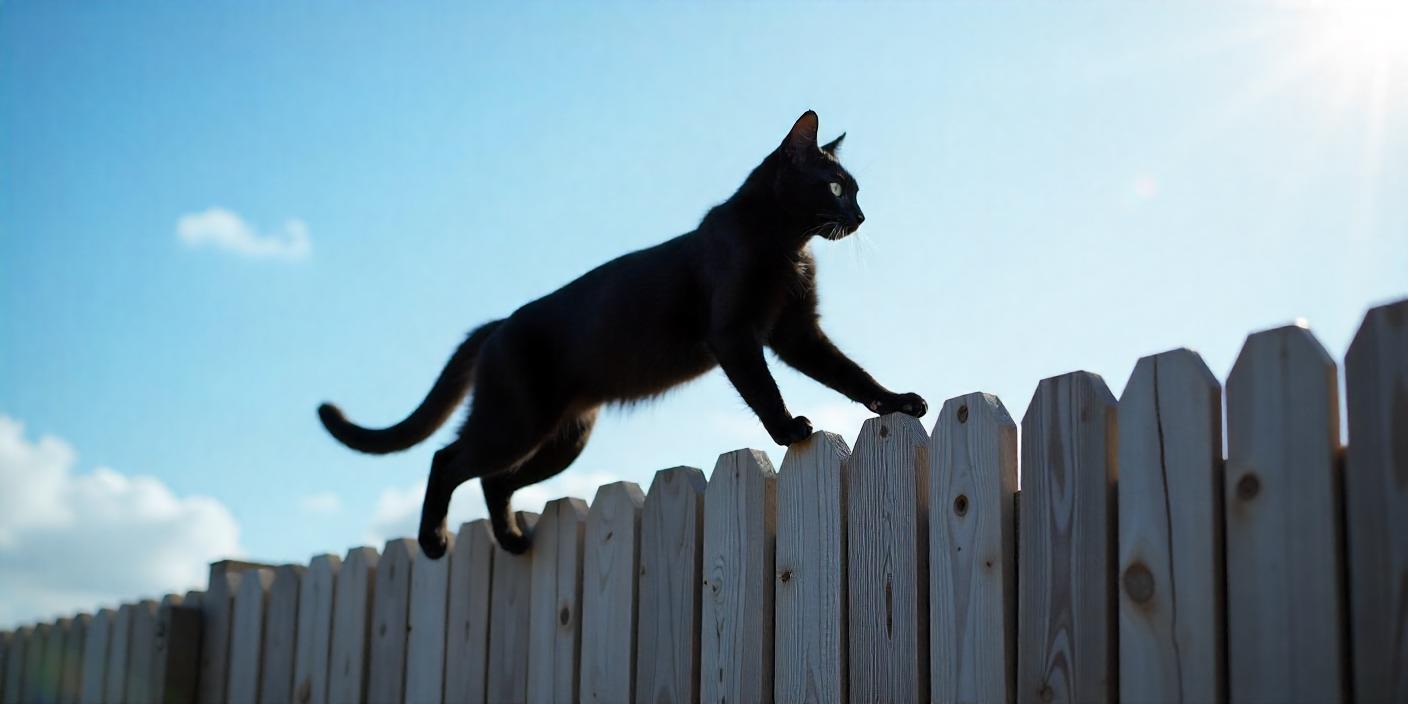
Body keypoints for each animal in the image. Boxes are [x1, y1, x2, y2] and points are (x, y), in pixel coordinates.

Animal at [322, 111, 929, 554]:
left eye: (855, 190)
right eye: (836, 187)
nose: (862, 216)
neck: (788, 246)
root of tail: (500, 322)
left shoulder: (796, 332)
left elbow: (851, 373)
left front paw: (898, 403)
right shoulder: (735, 334)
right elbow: (764, 389)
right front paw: (789, 430)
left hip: (563, 437)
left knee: (495, 480)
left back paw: (514, 541)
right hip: (514, 422)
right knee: (447, 460)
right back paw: (432, 540)